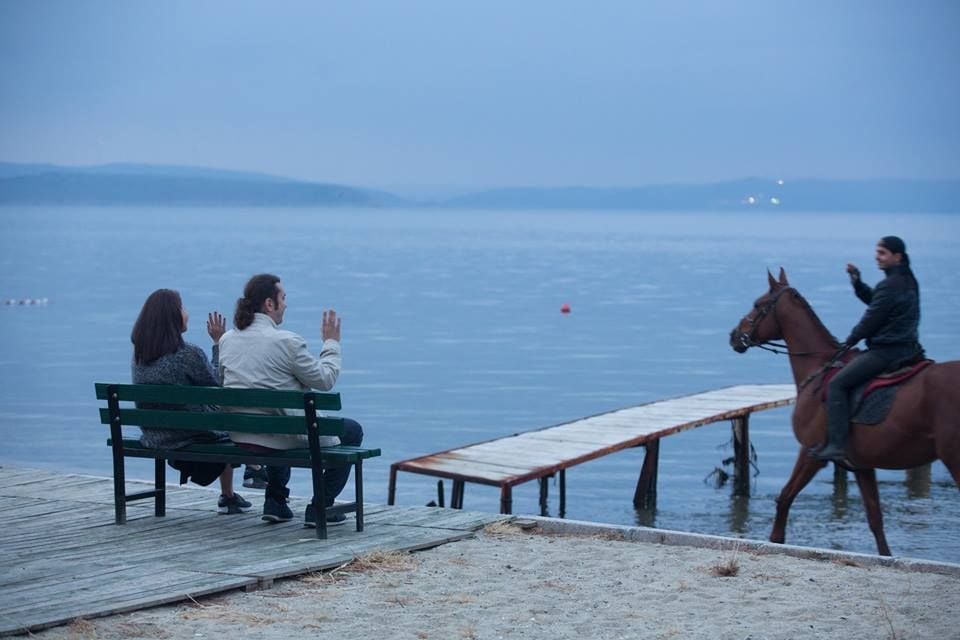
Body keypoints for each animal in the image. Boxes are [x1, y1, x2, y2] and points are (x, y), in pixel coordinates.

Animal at [732, 268, 956, 552]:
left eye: (758, 304)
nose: (734, 335)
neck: (819, 367)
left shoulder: (812, 453)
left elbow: (784, 500)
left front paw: (776, 539)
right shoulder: (862, 466)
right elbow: (876, 521)